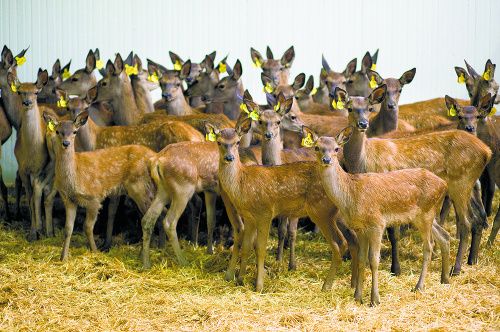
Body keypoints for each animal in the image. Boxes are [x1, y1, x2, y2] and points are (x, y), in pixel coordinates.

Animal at [42, 110, 155, 260]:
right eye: (57, 131)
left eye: (74, 131)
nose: (66, 143)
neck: (76, 175)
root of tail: (155, 155)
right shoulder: (69, 199)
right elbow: (68, 228)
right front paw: (63, 257)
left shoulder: (95, 196)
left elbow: (88, 227)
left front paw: (95, 251)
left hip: (140, 186)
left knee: (150, 217)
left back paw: (143, 253)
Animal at [306, 125, 452, 306]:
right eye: (316, 147)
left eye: (336, 148)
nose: (326, 160)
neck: (351, 195)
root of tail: (444, 184)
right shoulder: (359, 227)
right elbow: (362, 258)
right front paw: (357, 297)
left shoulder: (377, 223)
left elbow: (374, 260)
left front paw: (374, 299)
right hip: (425, 215)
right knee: (444, 236)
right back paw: (445, 279)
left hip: (426, 214)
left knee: (429, 246)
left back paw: (419, 286)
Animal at [336, 84, 492, 276]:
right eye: (350, 108)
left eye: (369, 108)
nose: (363, 124)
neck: (363, 160)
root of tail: (487, 151)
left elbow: (393, 234)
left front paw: (395, 268)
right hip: (468, 184)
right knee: (478, 217)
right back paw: (471, 260)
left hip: (461, 182)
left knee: (466, 223)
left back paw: (455, 268)